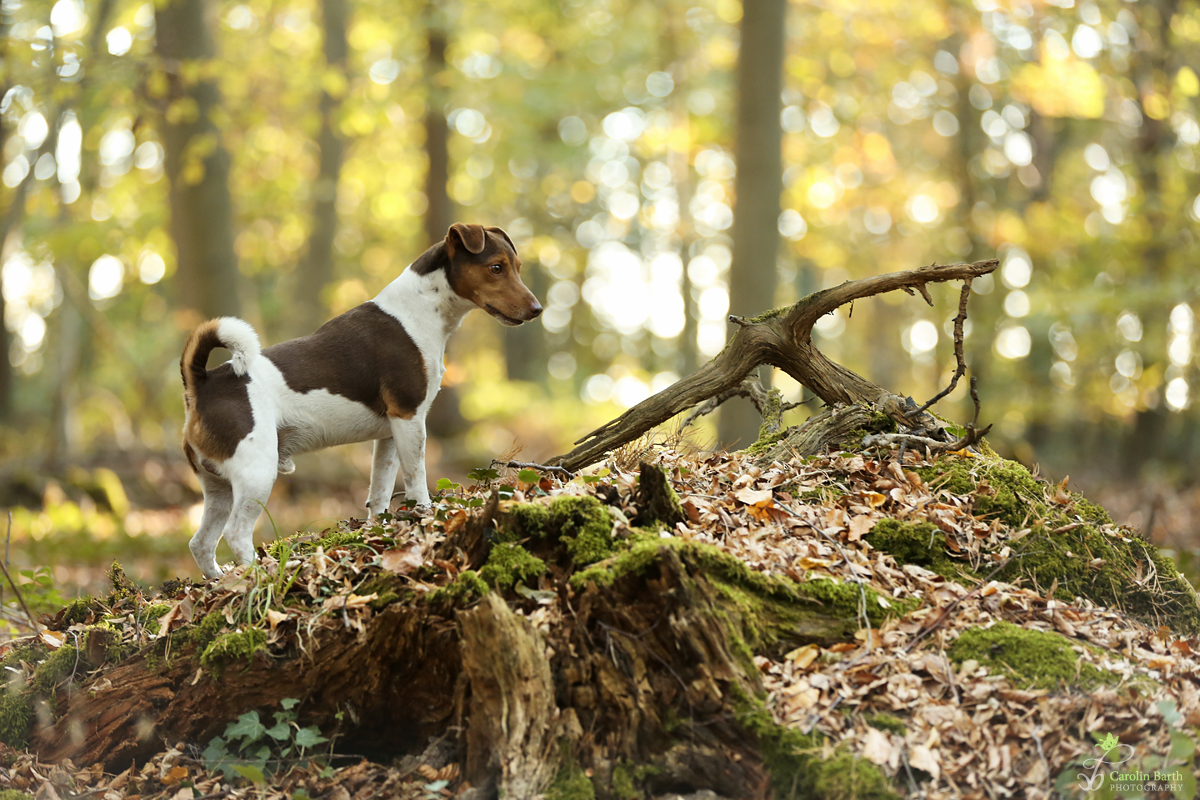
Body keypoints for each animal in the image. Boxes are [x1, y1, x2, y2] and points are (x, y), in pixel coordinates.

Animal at [180, 221, 542, 578]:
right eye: (496, 268)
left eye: (518, 267)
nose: (538, 310)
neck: (418, 310)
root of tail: (202, 382)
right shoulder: (410, 417)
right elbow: (416, 481)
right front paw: (426, 518)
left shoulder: (391, 433)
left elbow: (379, 493)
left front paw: (378, 533)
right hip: (257, 474)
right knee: (237, 534)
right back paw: (260, 577)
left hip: (218, 487)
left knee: (201, 543)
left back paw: (220, 581)